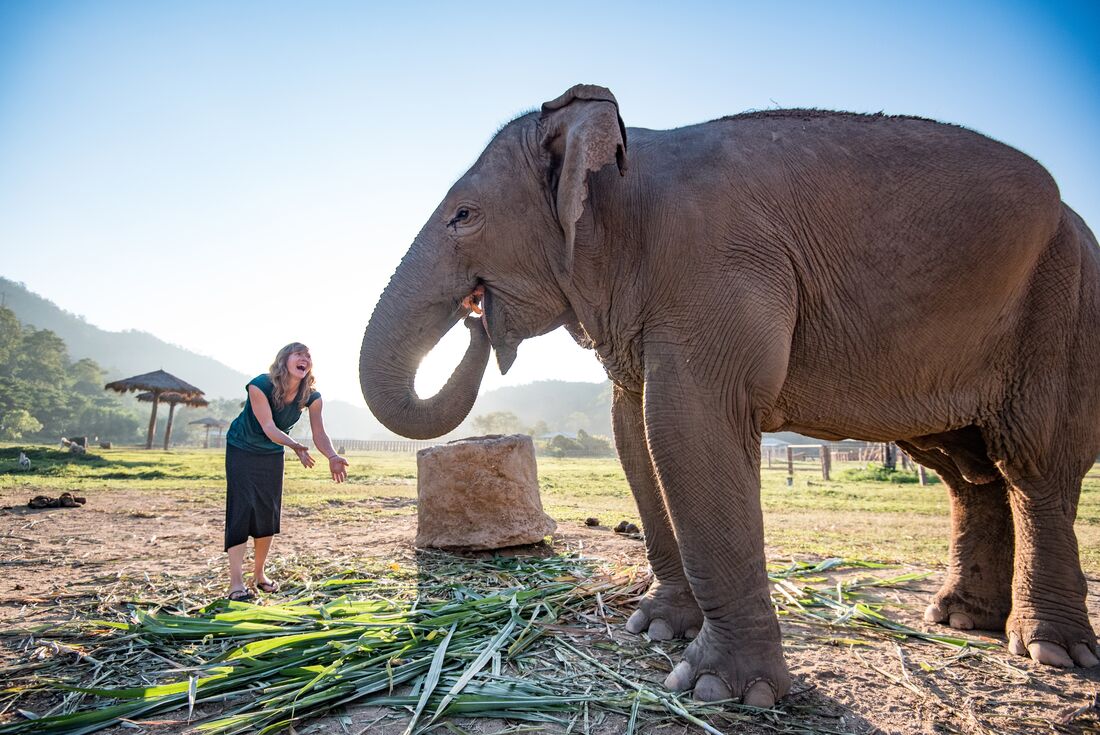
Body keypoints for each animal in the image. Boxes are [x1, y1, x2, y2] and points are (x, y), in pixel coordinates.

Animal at [360, 84, 1100, 704]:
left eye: (463, 215)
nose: (475, 316)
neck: (628, 161)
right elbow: (634, 430)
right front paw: (656, 629)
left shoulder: (716, 271)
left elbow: (685, 424)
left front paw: (721, 689)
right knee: (966, 470)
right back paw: (959, 618)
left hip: (1064, 310)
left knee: (1033, 465)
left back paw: (1049, 651)